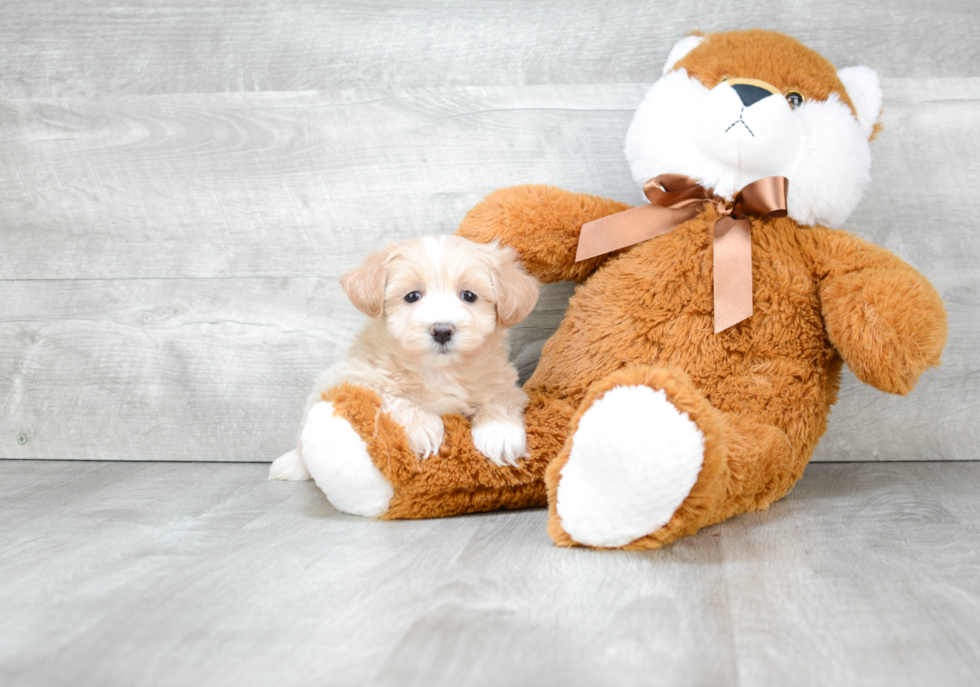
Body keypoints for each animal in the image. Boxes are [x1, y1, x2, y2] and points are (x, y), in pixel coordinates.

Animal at [272, 235, 540, 478]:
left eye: (469, 296)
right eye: (412, 296)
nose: (442, 330)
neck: (439, 371)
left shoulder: (506, 384)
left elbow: (500, 400)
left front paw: (500, 433)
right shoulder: (351, 375)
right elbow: (386, 394)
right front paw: (424, 427)